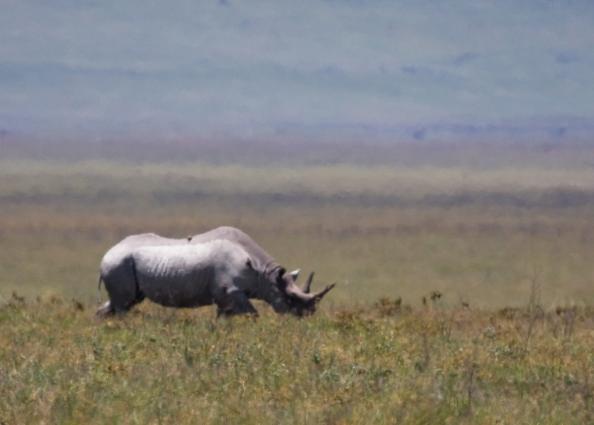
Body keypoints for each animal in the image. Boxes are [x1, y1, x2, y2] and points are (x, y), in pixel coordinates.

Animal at [97, 227, 332, 316]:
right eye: (291, 298)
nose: (307, 316)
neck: (264, 275)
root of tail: (106, 254)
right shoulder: (231, 291)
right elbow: (252, 315)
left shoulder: (225, 296)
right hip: (118, 264)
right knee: (123, 305)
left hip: (122, 265)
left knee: (123, 302)